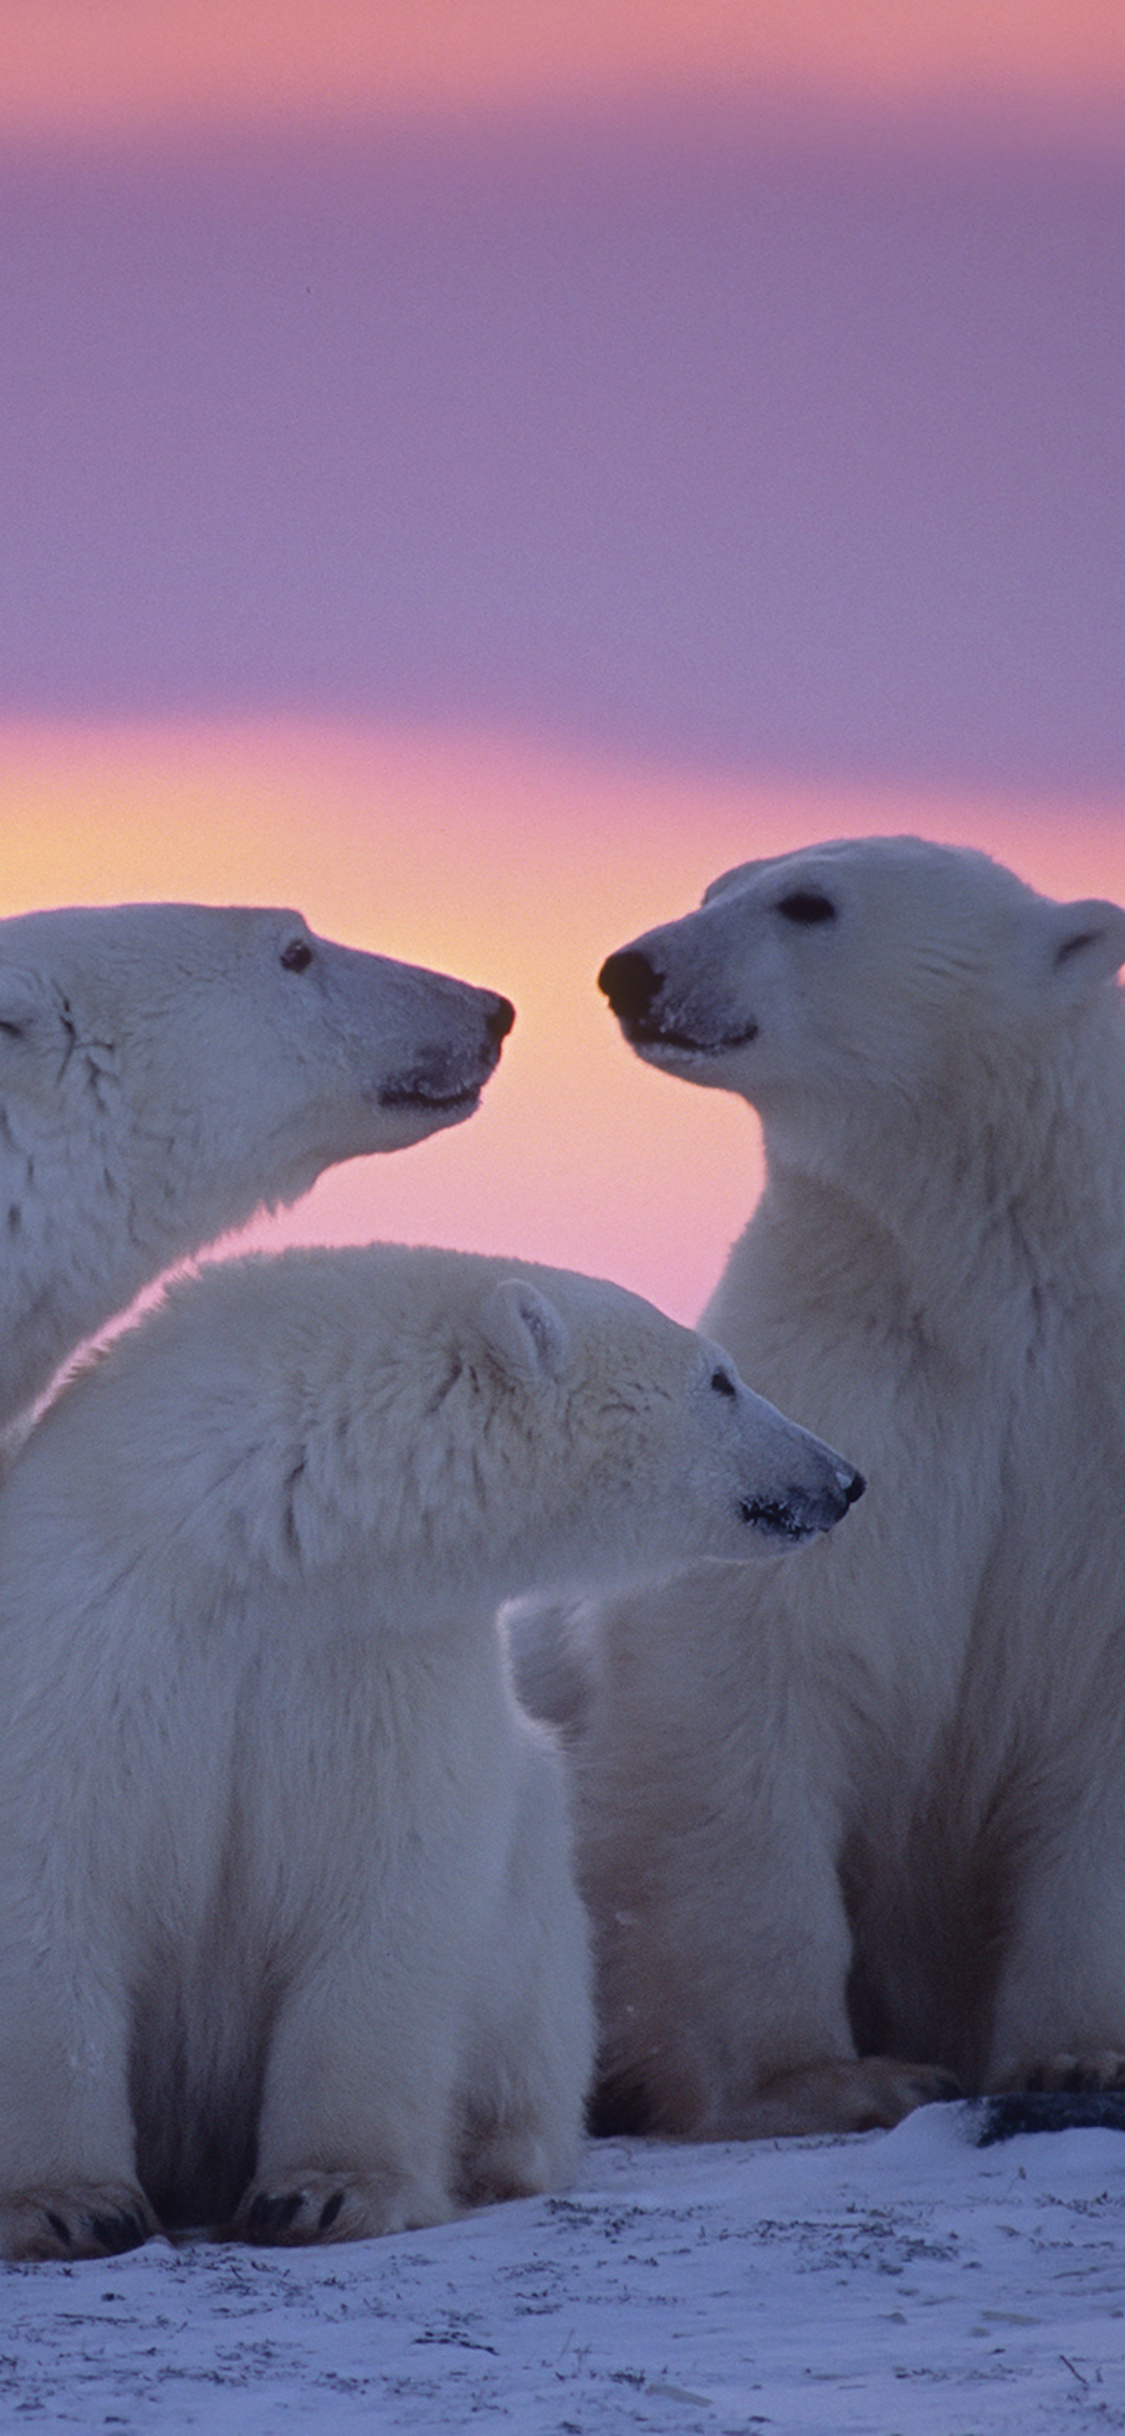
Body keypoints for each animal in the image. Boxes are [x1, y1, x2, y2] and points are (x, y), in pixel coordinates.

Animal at [0, 1240, 862, 2260]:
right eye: (721, 1378)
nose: (842, 1478)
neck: (256, 1540)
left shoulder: (381, 1660)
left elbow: (387, 1885)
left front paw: (325, 2193)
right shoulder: (95, 1633)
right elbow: (54, 1882)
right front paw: (67, 2205)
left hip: (536, 1922)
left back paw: (493, 2152)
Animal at [544, 834, 1125, 2143]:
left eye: (809, 903)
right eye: (714, 887)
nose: (632, 969)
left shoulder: (1088, 1433)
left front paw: (1081, 2054)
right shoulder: (839, 1386)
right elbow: (752, 1670)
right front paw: (831, 2078)